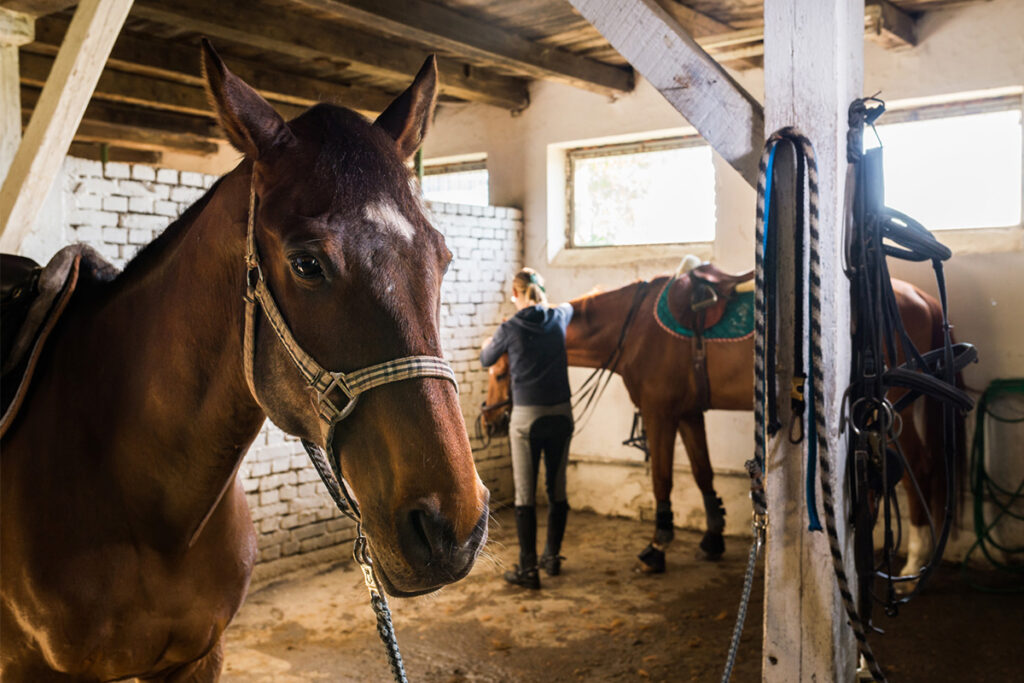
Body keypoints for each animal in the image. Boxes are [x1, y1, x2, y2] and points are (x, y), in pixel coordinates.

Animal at [486, 266, 959, 576]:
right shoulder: (688, 413)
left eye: (496, 371)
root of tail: (921, 297)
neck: (634, 329)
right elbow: (702, 473)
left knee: (918, 468)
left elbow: (663, 478)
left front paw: (657, 546)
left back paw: (914, 560)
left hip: (890, 408)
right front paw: (712, 537)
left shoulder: (659, 414)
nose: (490, 421)